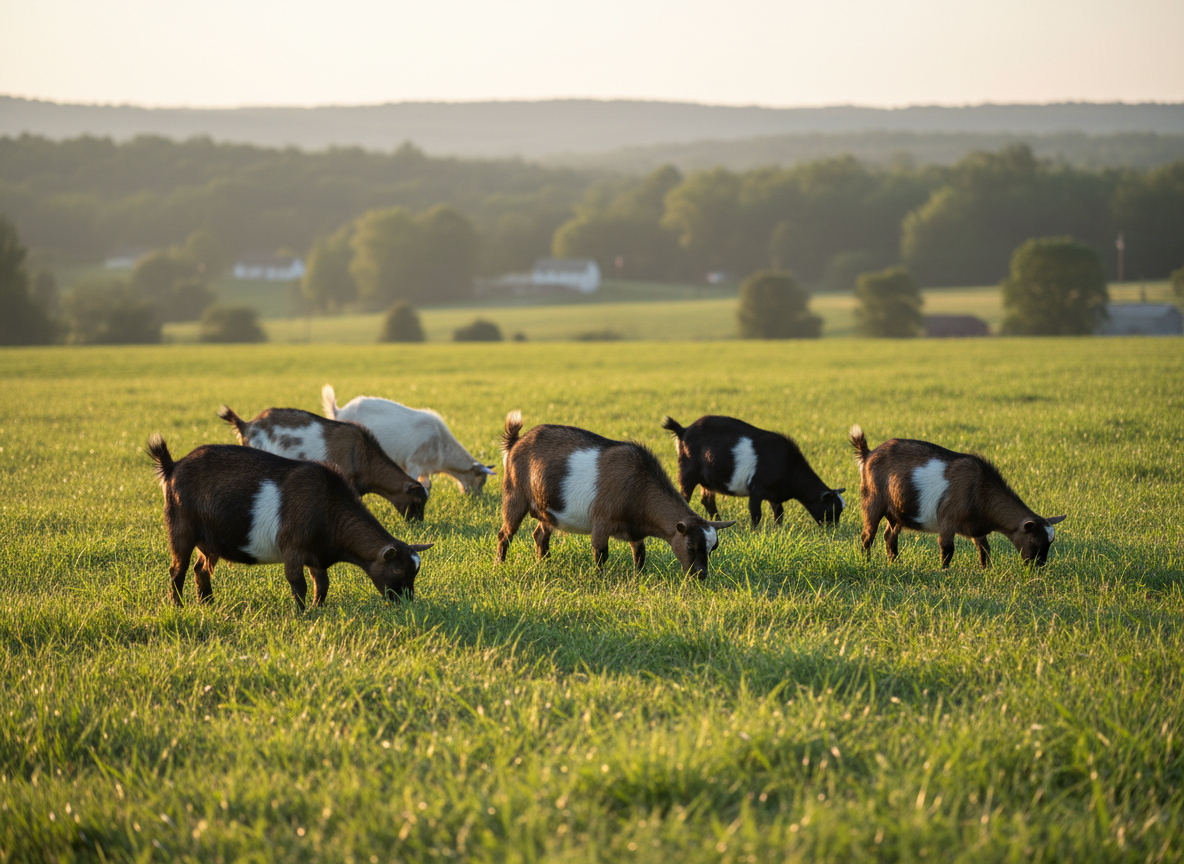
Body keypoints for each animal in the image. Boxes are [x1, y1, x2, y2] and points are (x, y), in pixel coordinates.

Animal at [146, 435, 432, 608]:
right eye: (397, 570)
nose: (407, 601)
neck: (329, 508)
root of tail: (172, 466)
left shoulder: (316, 557)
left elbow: (322, 584)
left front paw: (317, 609)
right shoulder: (293, 549)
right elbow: (299, 584)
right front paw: (301, 613)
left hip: (210, 540)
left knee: (201, 570)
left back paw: (207, 603)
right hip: (181, 529)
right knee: (178, 570)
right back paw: (179, 606)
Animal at [322, 385, 495, 495]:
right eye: (479, 480)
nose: (474, 497)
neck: (441, 444)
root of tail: (338, 411)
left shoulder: (425, 469)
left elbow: (428, 485)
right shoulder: (413, 464)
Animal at [496, 411, 735, 576]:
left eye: (712, 549)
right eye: (691, 546)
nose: (701, 575)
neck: (638, 486)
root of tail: (515, 442)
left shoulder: (635, 533)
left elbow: (640, 554)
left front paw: (638, 578)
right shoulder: (601, 522)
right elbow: (601, 554)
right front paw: (599, 579)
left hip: (547, 509)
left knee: (540, 535)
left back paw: (544, 563)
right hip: (514, 496)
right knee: (504, 534)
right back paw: (500, 564)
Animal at [662, 414, 845, 528]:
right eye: (831, 510)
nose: (832, 530)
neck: (787, 465)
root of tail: (683, 430)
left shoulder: (774, 495)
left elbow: (779, 513)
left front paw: (778, 531)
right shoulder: (756, 489)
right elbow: (757, 514)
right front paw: (755, 532)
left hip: (707, 480)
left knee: (708, 501)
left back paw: (718, 522)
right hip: (688, 473)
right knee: (685, 497)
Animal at [849, 425, 1066, 568]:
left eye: (1050, 543)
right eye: (1035, 541)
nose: (1039, 566)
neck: (980, 489)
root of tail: (868, 454)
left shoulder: (977, 528)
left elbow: (984, 549)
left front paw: (986, 570)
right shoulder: (948, 520)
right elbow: (947, 549)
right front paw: (944, 572)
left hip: (897, 511)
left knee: (889, 536)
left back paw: (895, 562)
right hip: (872, 500)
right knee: (867, 535)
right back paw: (866, 562)